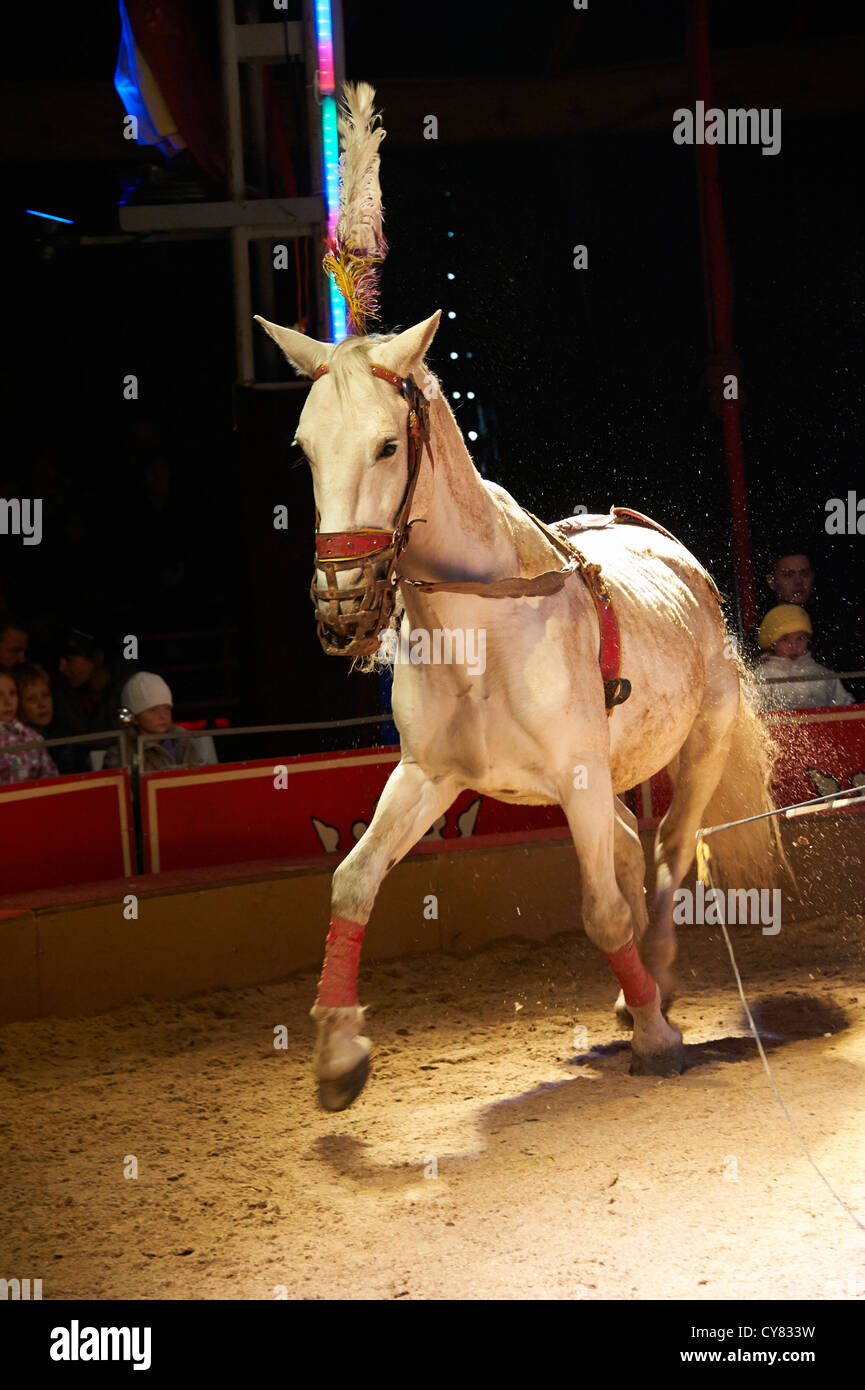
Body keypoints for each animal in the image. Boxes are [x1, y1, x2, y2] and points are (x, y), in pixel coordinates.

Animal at [257, 312, 778, 1106]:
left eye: (387, 445)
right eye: (304, 447)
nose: (340, 604)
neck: (481, 630)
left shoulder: (579, 778)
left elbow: (603, 912)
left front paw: (656, 1039)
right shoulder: (428, 775)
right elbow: (353, 883)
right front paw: (340, 1056)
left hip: (700, 747)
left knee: (668, 850)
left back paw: (655, 983)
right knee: (631, 849)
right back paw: (640, 993)